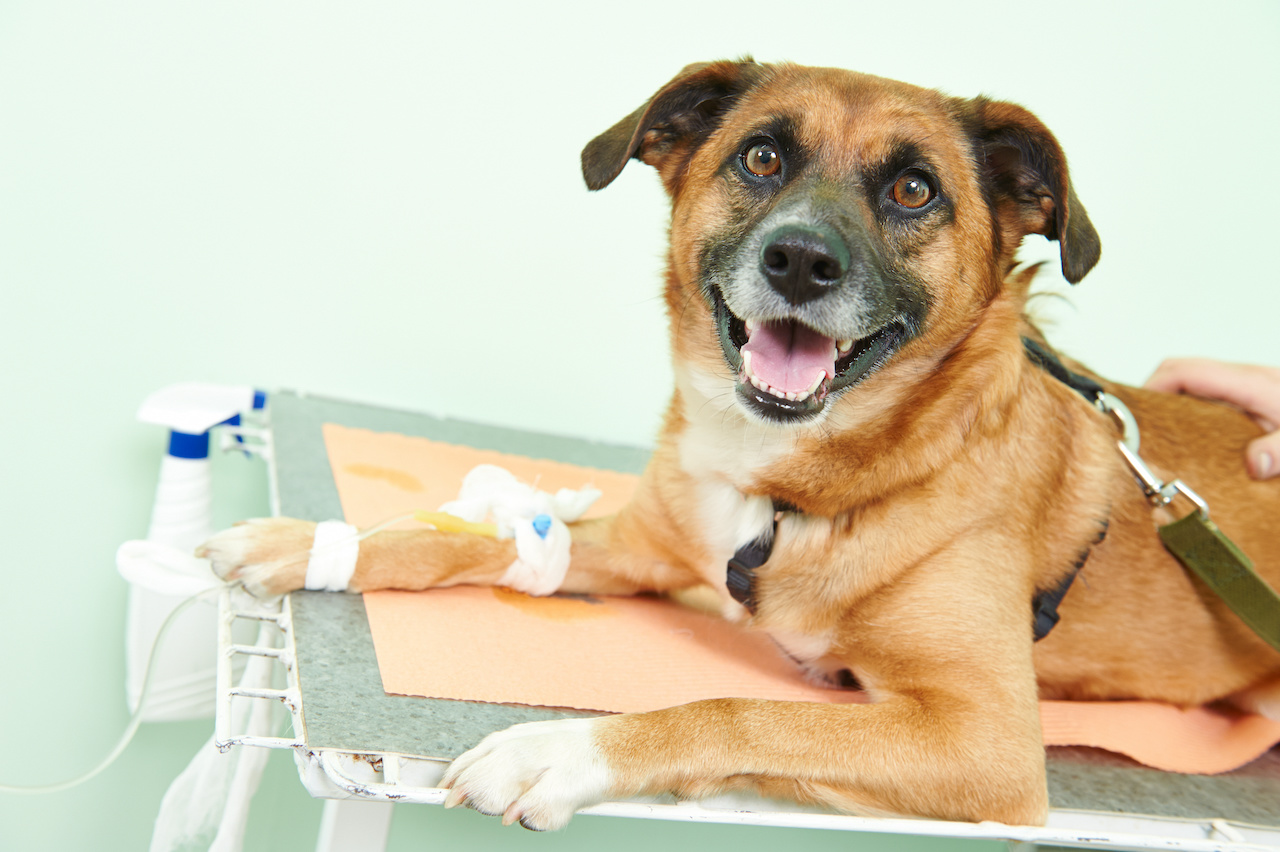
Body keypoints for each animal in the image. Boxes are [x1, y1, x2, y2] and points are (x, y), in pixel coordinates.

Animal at [199, 61, 1280, 828]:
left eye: (914, 190)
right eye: (760, 159)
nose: (799, 260)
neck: (794, 484)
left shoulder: (985, 743)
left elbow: (736, 711)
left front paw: (559, 752)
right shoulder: (641, 546)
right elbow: (462, 538)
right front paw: (303, 545)